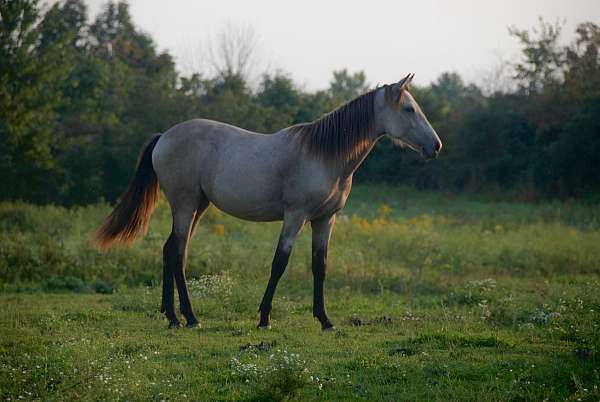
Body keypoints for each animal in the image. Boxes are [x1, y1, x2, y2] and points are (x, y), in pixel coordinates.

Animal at [95, 74, 440, 332]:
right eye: (408, 109)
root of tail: (164, 136)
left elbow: (320, 266)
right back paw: (190, 317)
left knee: (171, 250)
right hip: (185, 205)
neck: (324, 155)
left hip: (198, 206)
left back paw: (172, 316)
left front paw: (325, 320)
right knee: (178, 253)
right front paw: (264, 318)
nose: (436, 146)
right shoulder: (295, 216)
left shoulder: (324, 220)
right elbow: (279, 264)